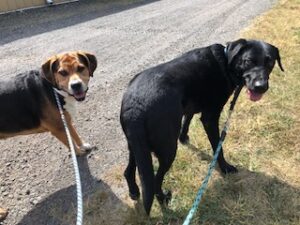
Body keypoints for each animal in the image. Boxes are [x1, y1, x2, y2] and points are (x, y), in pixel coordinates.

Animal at [0, 51, 97, 221]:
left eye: (81, 68)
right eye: (62, 72)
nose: (76, 85)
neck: (52, 88)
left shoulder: (65, 119)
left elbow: (74, 134)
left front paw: (82, 145)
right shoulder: (58, 128)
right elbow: (70, 143)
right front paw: (78, 153)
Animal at [119, 39, 284, 214]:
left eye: (270, 62)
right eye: (248, 61)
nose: (261, 87)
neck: (226, 61)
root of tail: (135, 108)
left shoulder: (190, 106)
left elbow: (188, 119)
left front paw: (184, 137)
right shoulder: (210, 118)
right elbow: (218, 147)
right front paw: (225, 168)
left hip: (136, 145)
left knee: (129, 171)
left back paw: (134, 191)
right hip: (167, 149)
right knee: (156, 179)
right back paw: (163, 198)